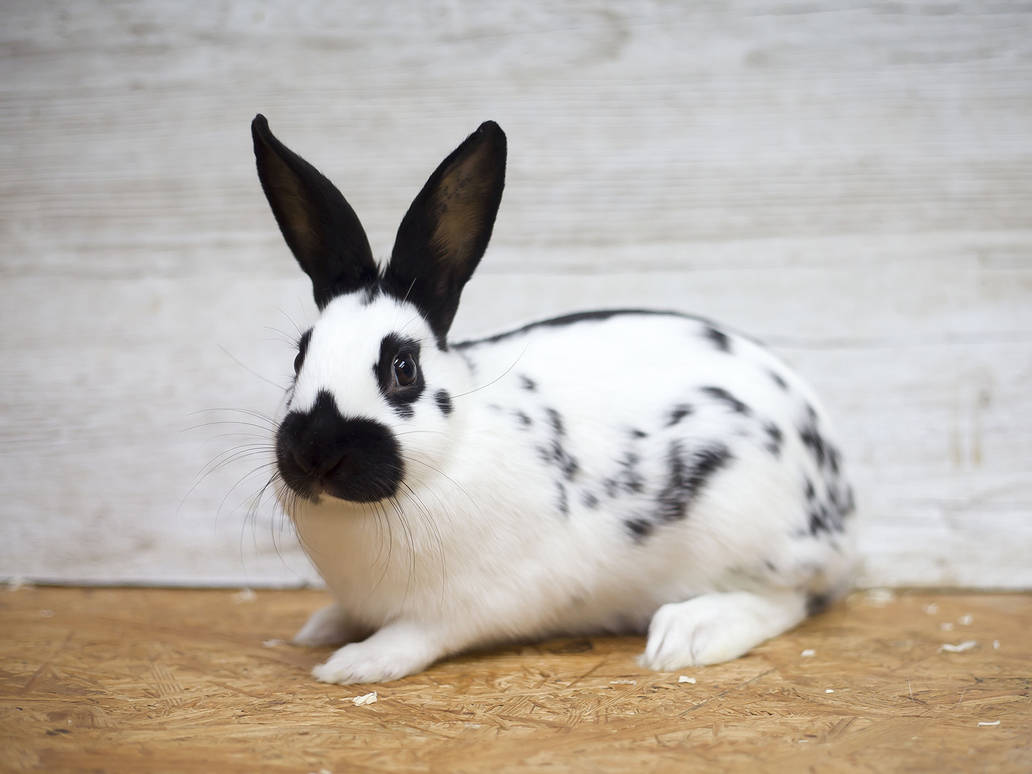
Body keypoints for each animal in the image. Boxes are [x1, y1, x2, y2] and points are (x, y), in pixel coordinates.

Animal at [251, 114, 857, 685]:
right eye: (300, 357)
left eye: (404, 368)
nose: (315, 454)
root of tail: (837, 499)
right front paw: (322, 628)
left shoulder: (470, 604)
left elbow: (417, 636)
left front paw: (354, 664)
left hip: (751, 533)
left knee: (789, 600)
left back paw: (687, 635)